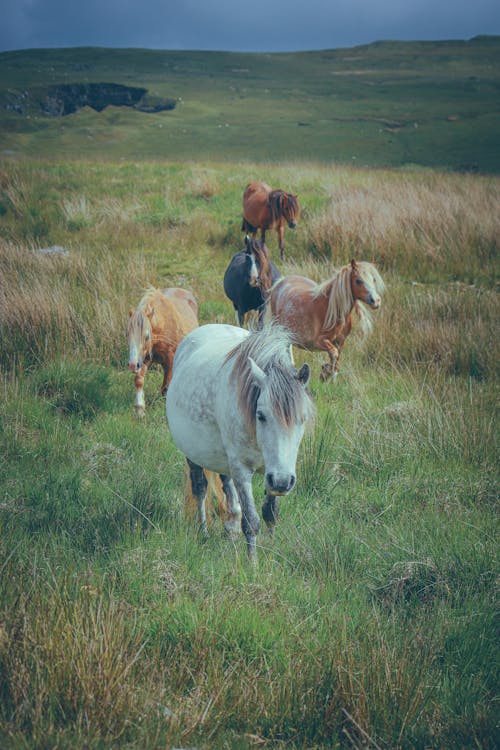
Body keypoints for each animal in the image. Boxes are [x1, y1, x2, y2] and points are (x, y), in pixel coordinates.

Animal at [127, 288, 199, 418]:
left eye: (146, 337)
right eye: (127, 335)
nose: (132, 364)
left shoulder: (170, 359)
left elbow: (166, 387)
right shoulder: (144, 359)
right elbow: (139, 380)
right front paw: (140, 409)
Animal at [165, 324, 312, 560]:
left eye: (302, 418)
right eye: (260, 415)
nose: (282, 482)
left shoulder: (274, 470)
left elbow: (270, 512)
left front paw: (271, 549)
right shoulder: (243, 470)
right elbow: (251, 522)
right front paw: (252, 564)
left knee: (226, 483)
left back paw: (230, 526)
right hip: (193, 454)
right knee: (200, 488)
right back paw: (203, 532)